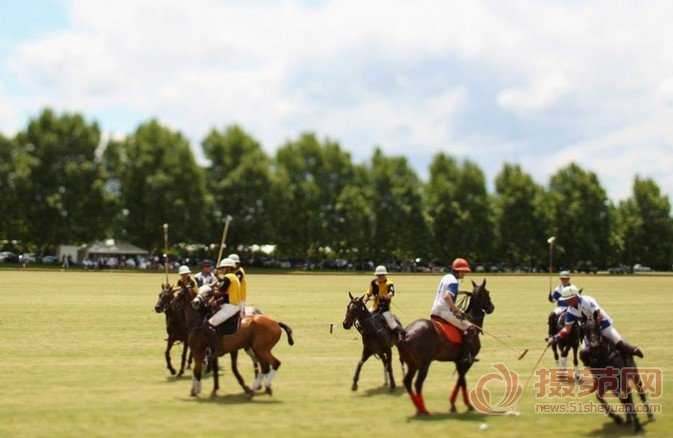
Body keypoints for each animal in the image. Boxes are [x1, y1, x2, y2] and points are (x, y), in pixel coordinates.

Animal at [394, 278, 494, 416]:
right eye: (486, 293)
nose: (492, 307)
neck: (472, 321)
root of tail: (406, 334)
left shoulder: (458, 361)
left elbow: (461, 381)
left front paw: (456, 405)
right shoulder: (466, 361)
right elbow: (461, 381)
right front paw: (462, 405)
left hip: (412, 363)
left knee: (407, 382)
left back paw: (419, 409)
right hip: (424, 364)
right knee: (418, 384)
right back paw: (424, 410)